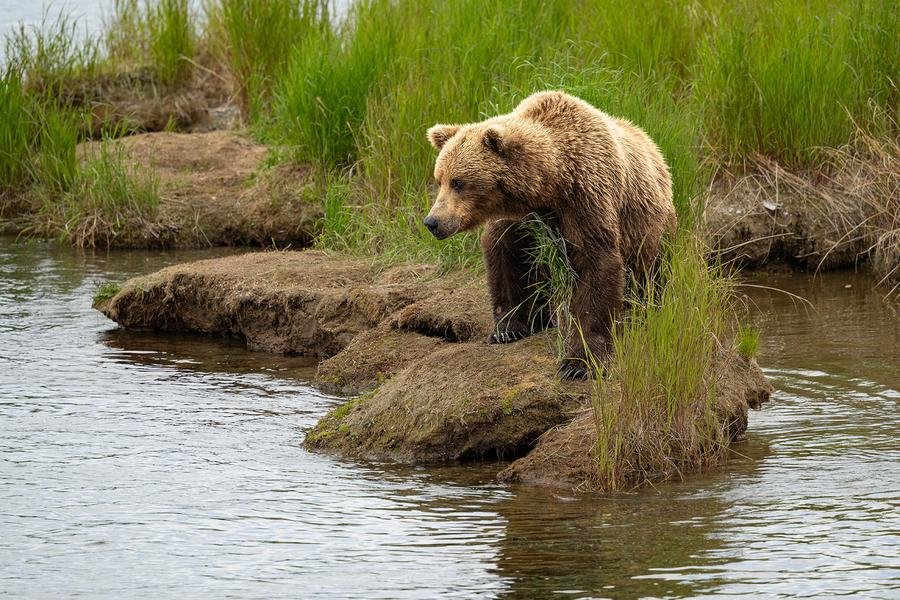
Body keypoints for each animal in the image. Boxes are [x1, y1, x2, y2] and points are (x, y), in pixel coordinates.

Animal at [424, 90, 676, 380]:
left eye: (459, 182)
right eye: (439, 179)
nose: (432, 222)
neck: (551, 183)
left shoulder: (586, 199)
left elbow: (596, 263)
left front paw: (579, 362)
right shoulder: (521, 218)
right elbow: (507, 255)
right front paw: (507, 329)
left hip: (648, 225)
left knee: (649, 271)